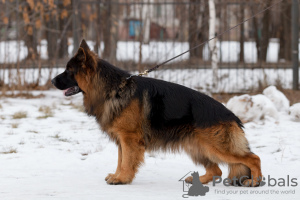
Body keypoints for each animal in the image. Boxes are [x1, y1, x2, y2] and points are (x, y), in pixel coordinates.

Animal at [51, 39, 262, 187]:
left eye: (69, 71)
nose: (52, 81)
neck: (113, 88)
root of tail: (231, 115)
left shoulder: (129, 139)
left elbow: (126, 161)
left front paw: (122, 179)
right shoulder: (122, 140)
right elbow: (120, 160)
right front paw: (118, 176)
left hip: (215, 147)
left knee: (253, 158)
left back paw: (254, 181)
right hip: (197, 147)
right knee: (217, 170)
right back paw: (199, 181)